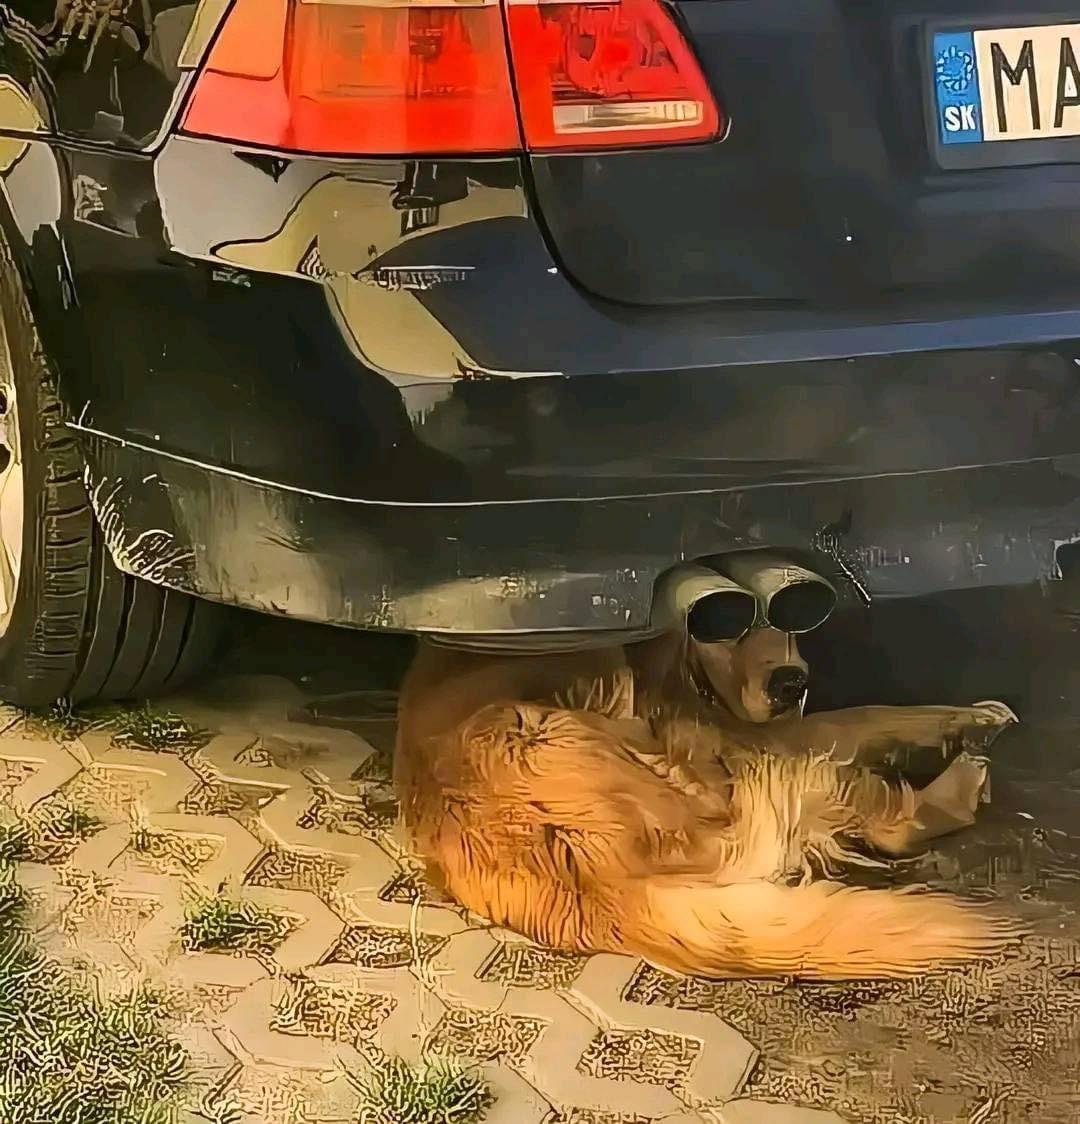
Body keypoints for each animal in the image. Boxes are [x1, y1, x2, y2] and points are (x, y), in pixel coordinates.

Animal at [393, 557, 1020, 980]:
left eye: (794, 617)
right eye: (722, 628)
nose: (790, 682)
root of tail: (599, 888)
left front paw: (975, 715)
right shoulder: (762, 732)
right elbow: (872, 712)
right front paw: (968, 719)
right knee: (880, 823)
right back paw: (959, 785)